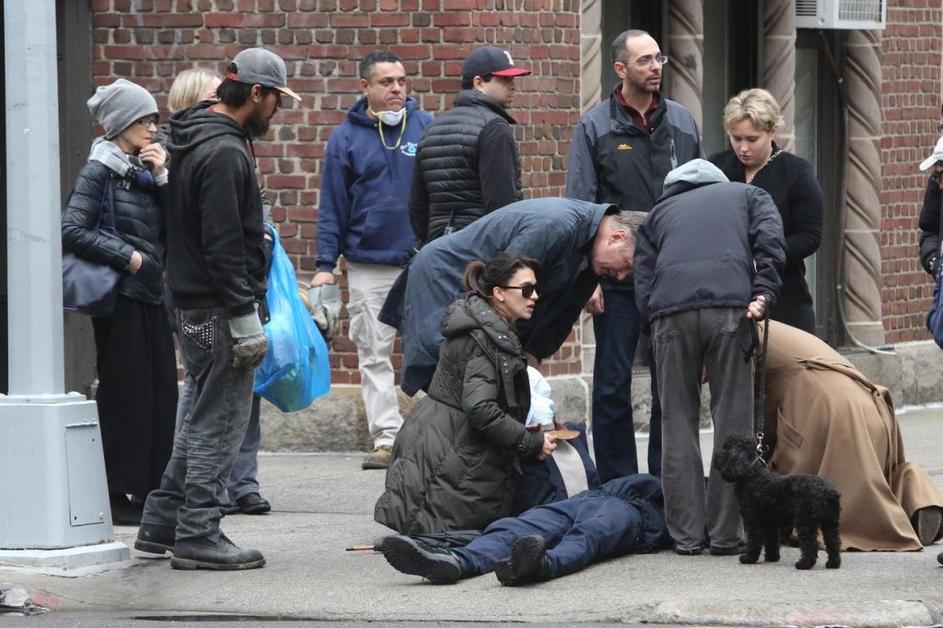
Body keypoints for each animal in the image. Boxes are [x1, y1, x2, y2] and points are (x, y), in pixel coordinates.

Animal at [714, 434, 841, 570]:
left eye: (726, 448)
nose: (716, 456)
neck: (753, 475)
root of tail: (827, 491)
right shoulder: (770, 523)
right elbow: (771, 540)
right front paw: (772, 557)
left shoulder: (753, 521)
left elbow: (754, 541)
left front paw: (748, 558)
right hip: (830, 523)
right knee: (833, 542)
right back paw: (833, 564)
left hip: (805, 522)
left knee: (811, 544)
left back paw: (804, 564)